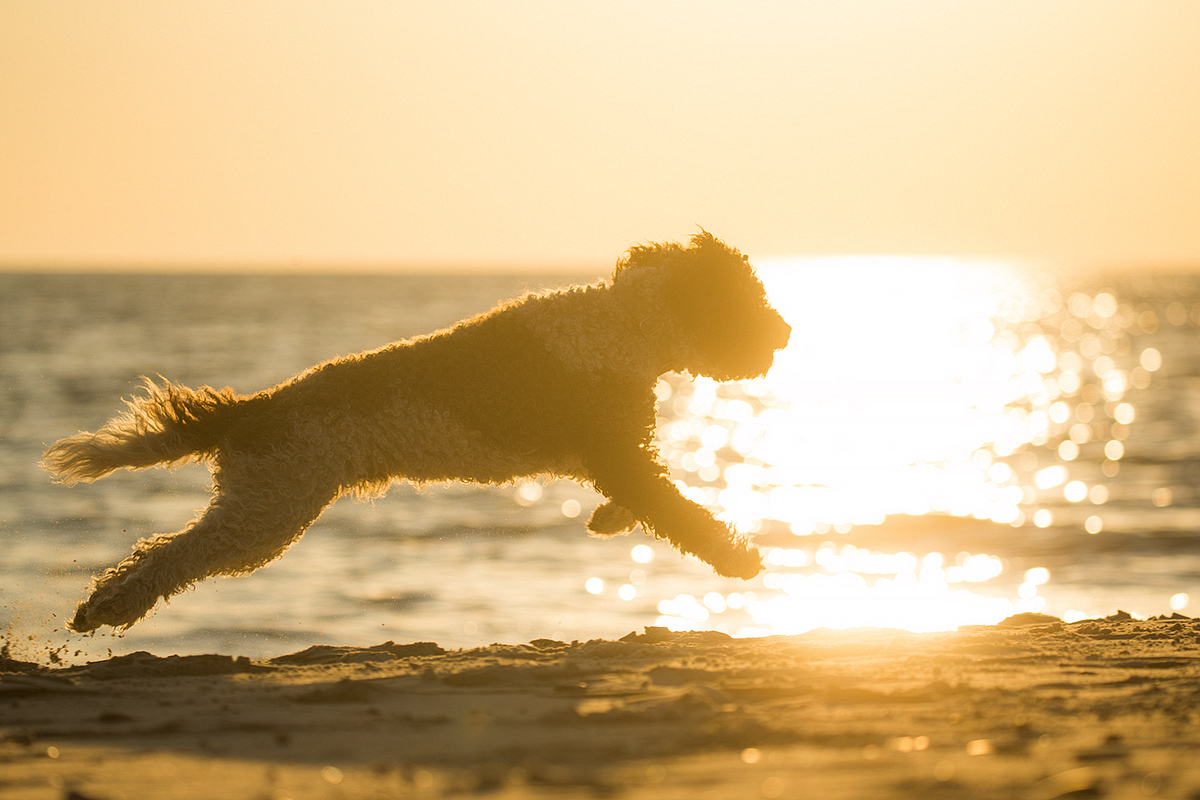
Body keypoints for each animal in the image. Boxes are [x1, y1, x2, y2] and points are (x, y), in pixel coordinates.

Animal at [46, 230, 792, 633]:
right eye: (749, 299)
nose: (784, 333)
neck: (625, 324)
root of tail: (254, 407)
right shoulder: (614, 450)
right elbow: (679, 512)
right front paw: (738, 560)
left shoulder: (614, 454)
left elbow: (644, 500)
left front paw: (608, 521)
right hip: (268, 509)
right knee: (175, 555)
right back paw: (107, 608)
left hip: (263, 502)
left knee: (159, 550)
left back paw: (101, 606)